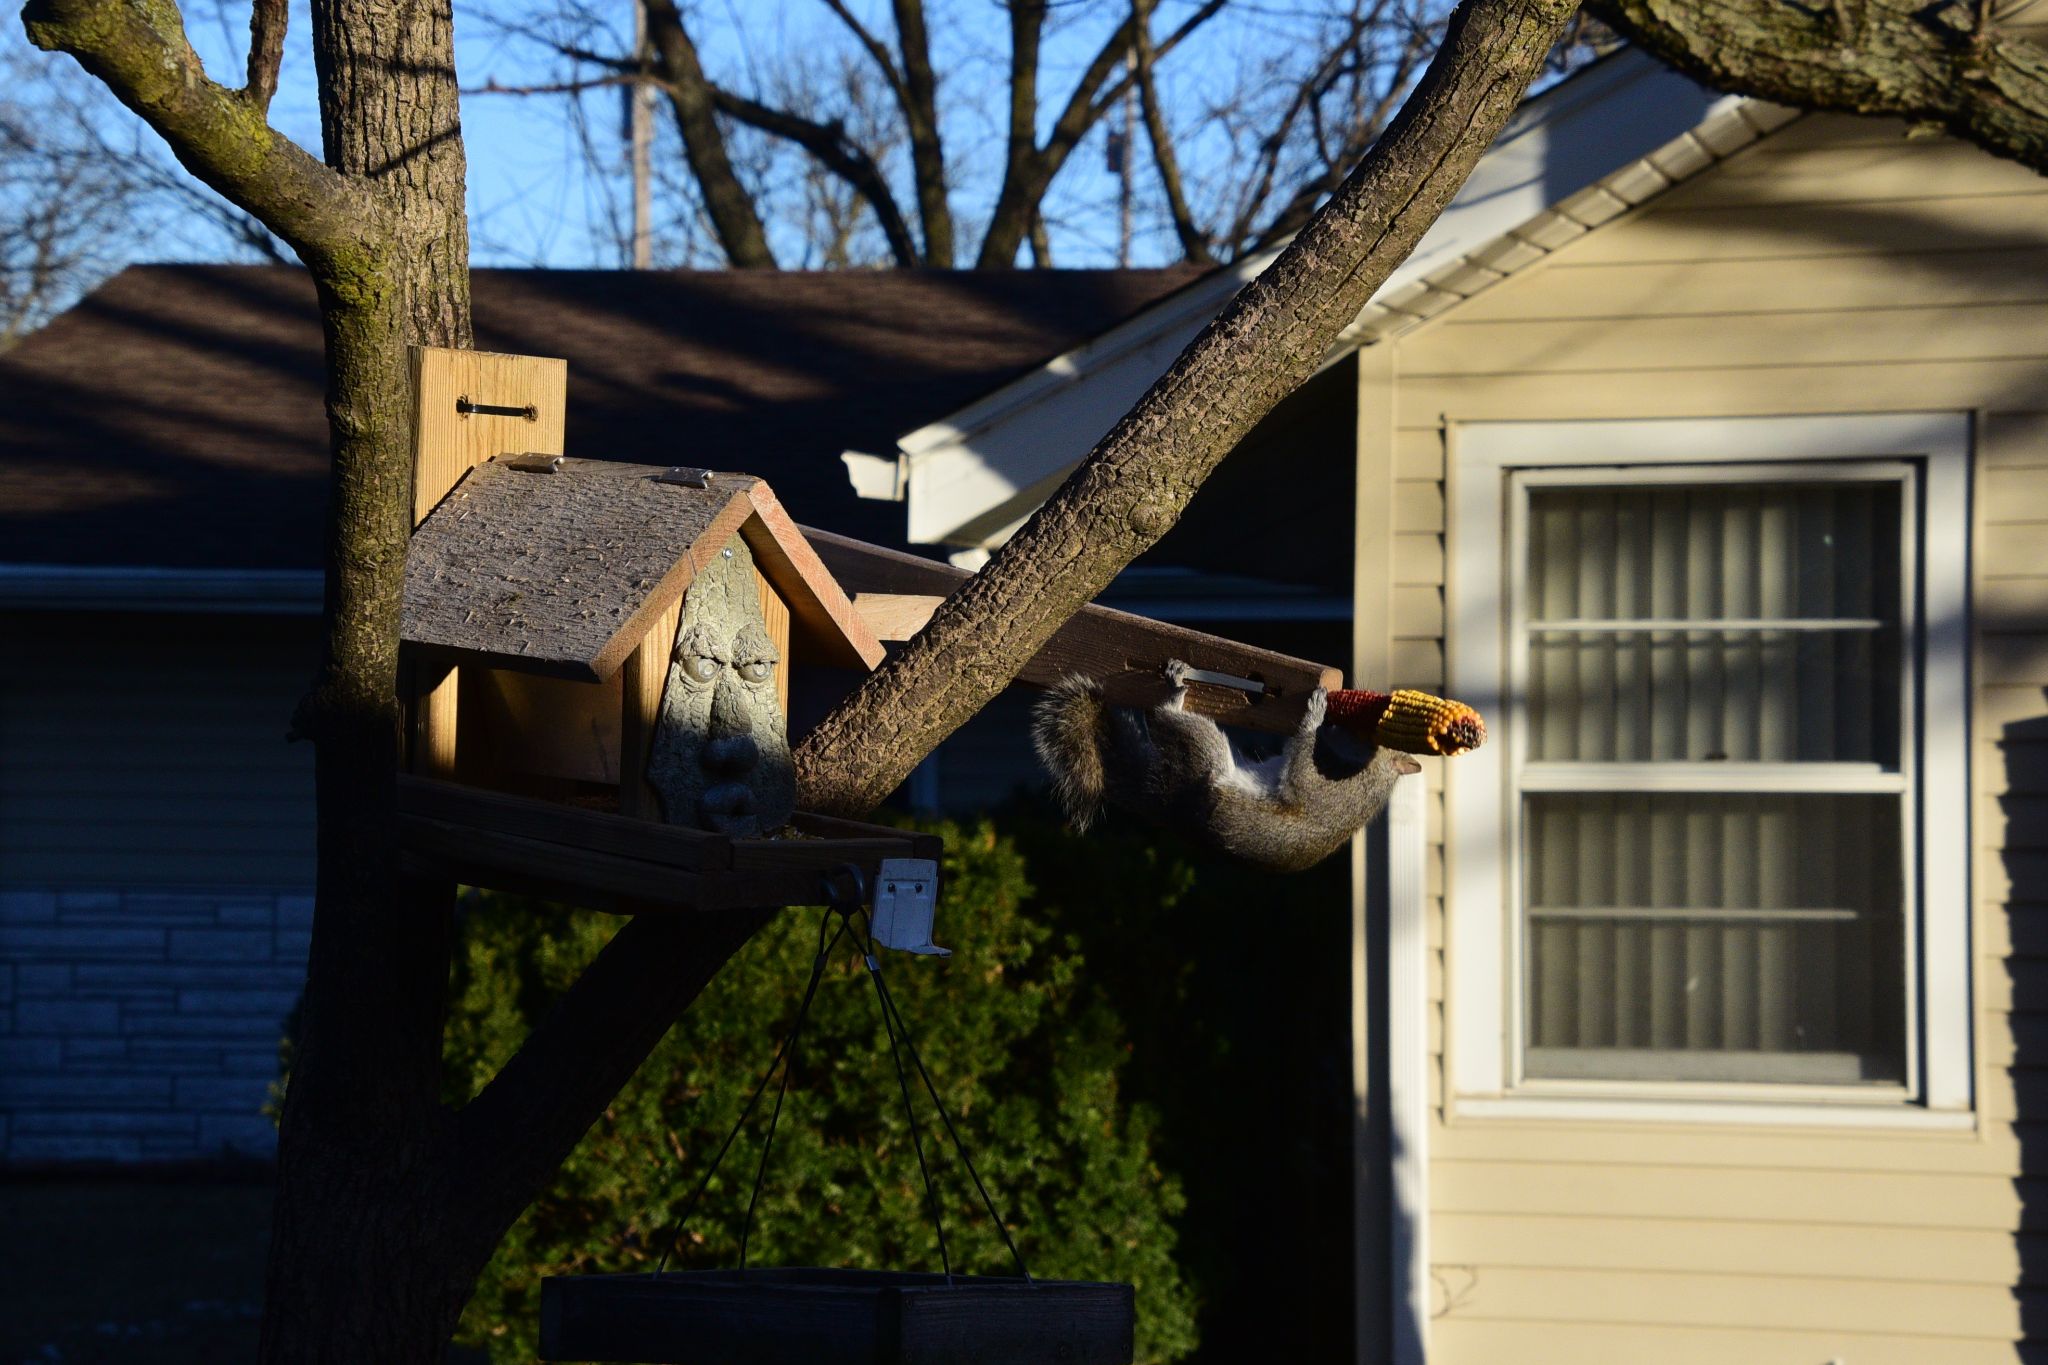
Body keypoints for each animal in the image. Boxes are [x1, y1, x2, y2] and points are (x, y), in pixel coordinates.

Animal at [1031, 659, 1421, 874]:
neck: (1367, 766)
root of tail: (1165, 801)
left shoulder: (1332, 788)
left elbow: (1301, 776)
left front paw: (1315, 713)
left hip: (1203, 759)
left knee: (1163, 719)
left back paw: (1174, 693)